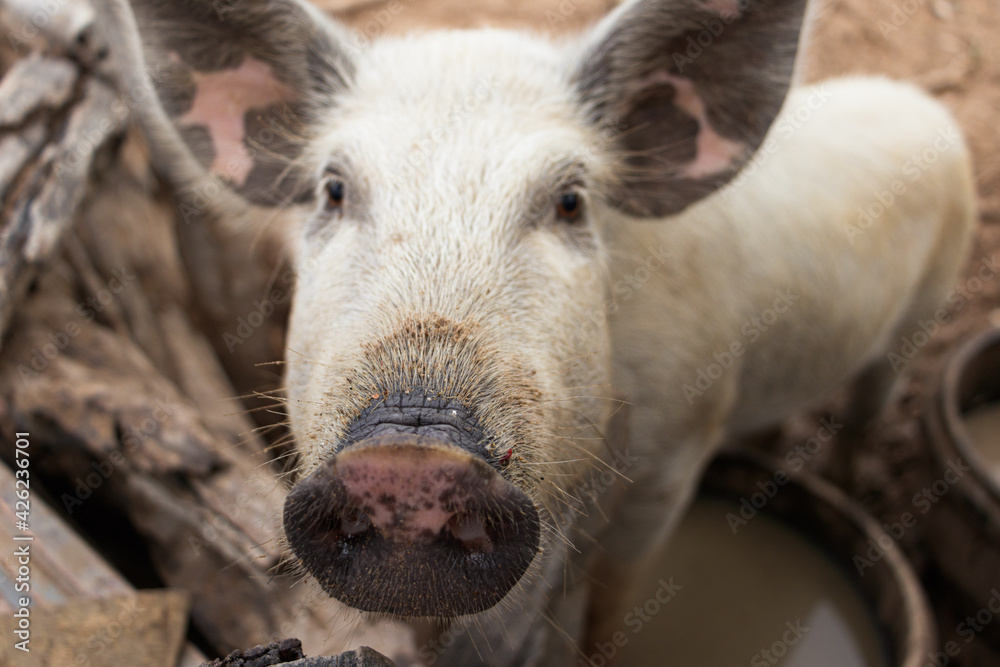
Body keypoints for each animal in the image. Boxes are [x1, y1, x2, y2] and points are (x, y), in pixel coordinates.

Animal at [95, 0, 977, 664]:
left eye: (570, 201)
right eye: (333, 189)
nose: (411, 452)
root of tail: (924, 103)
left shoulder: (679, 453)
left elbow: (611, 596)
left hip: (926, 306)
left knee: (868, 406)